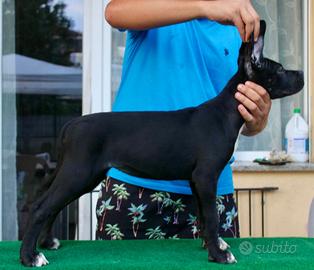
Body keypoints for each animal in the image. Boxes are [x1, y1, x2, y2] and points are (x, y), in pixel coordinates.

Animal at [20, 21, 304, 266]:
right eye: (279, 69)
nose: (301, 73)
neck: (225, 112)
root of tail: (71, 124)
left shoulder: (195, 179)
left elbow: (204, 218)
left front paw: (211, 245)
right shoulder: (206, 175)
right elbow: (212, 217)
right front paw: (219, 255)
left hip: (78, 174)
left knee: (49, 205)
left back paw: (47, 243)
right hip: (79, 173)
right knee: (40, 207)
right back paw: (30, 257)